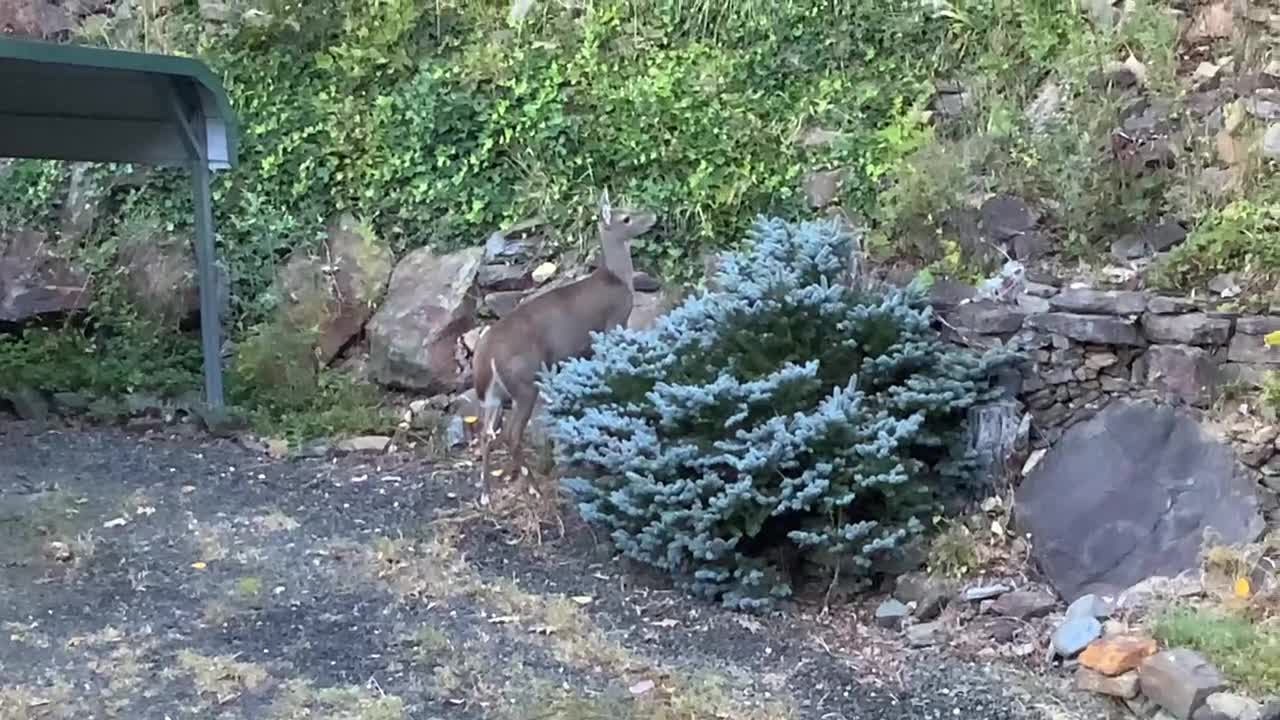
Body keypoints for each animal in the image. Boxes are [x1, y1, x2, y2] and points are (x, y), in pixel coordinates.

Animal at [471, 190, 657, 504]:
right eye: (626, 217)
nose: (653, 215)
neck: (618, 280)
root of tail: (488, 353)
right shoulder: (614, 321)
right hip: (525, 381)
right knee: (510, 433)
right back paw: (532, 486)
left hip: (494, 391)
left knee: (487, 433)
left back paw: (485, 493)